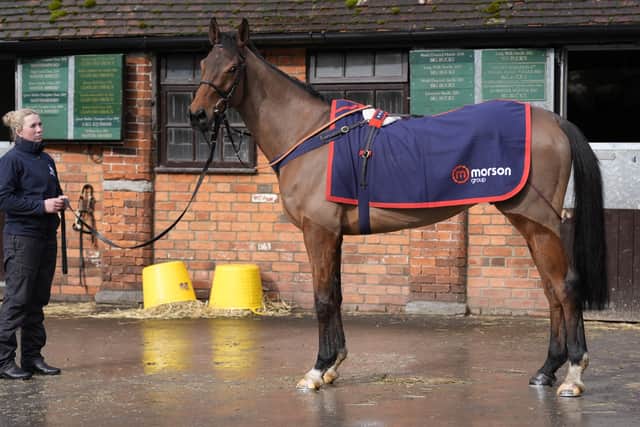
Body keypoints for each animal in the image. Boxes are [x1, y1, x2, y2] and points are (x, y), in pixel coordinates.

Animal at [189, 17, 608, 398]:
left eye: (232, 67)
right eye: (203, 64)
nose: (197, 115)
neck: (311, 137)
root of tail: (552, 120)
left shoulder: (318, 232)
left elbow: (322, 299)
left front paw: (316, 371)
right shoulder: (334, 235)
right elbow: (336, 296)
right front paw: (334, 365)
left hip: (537, 221)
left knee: (564, 287)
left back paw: (573, 375)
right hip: (530, 223)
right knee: (551, 290)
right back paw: (546, 370)